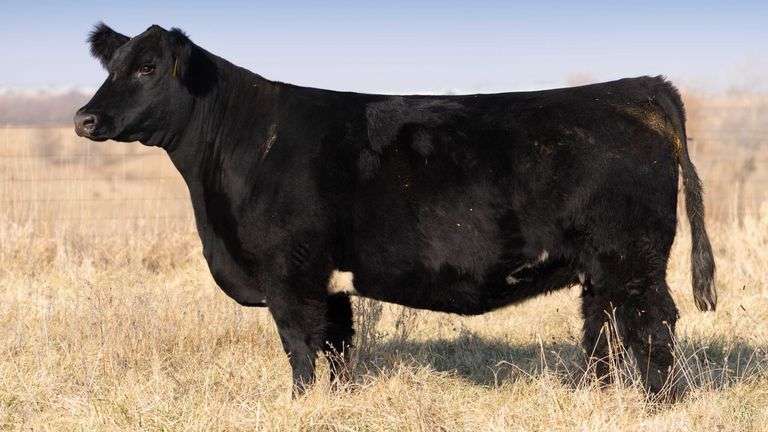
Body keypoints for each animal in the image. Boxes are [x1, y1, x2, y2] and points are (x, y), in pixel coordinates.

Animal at [75, 23, 716, 396]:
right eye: (112, 66)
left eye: (147, 68)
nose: (84, 118)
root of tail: (640, 87)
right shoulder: (328, 282)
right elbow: (335, 348)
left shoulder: (289, 274)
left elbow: (300, 346)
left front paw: (301, 404)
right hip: (600, 266)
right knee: (603, 327)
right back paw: (599, 394)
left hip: (633, 258)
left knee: (653, 324)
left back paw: (657, 400)